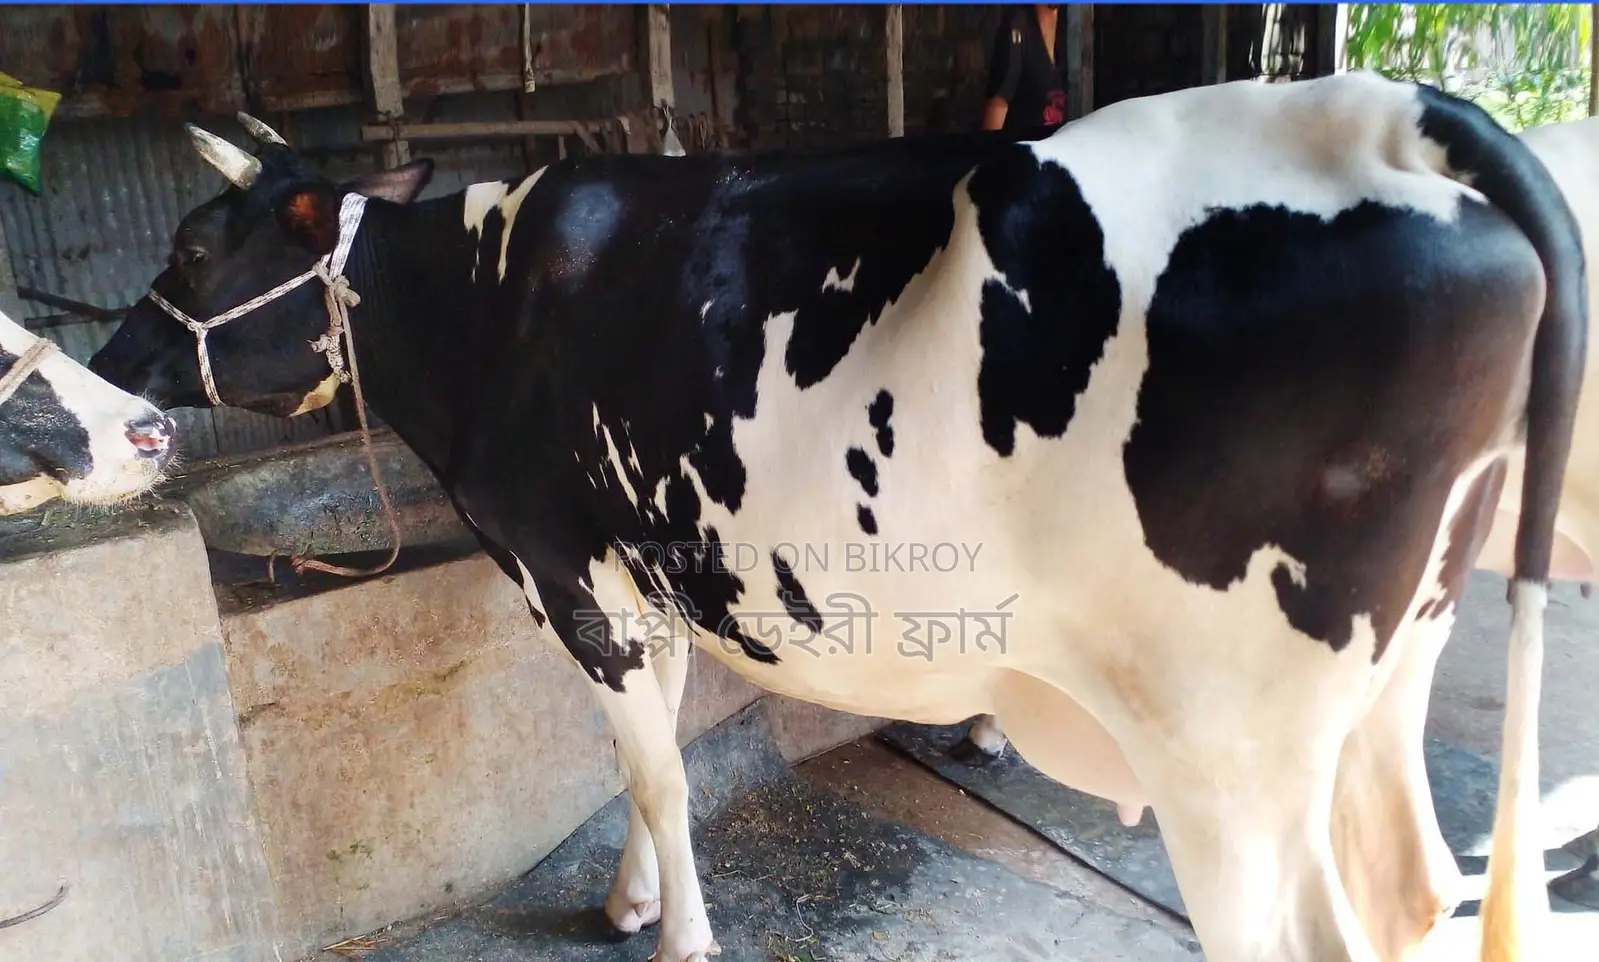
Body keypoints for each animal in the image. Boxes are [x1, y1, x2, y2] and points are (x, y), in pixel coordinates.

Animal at [86, 71, 1584, 962]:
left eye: (197, 248)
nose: (109, 369)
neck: (487, 294)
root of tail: (1387, 109)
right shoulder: (651, 556)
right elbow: (656, 749)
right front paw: (634, 893)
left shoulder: (567, 563)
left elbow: (653, 764)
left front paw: (676, 933)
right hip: (1391, 660)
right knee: (1408, 882)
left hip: (1228, 736)